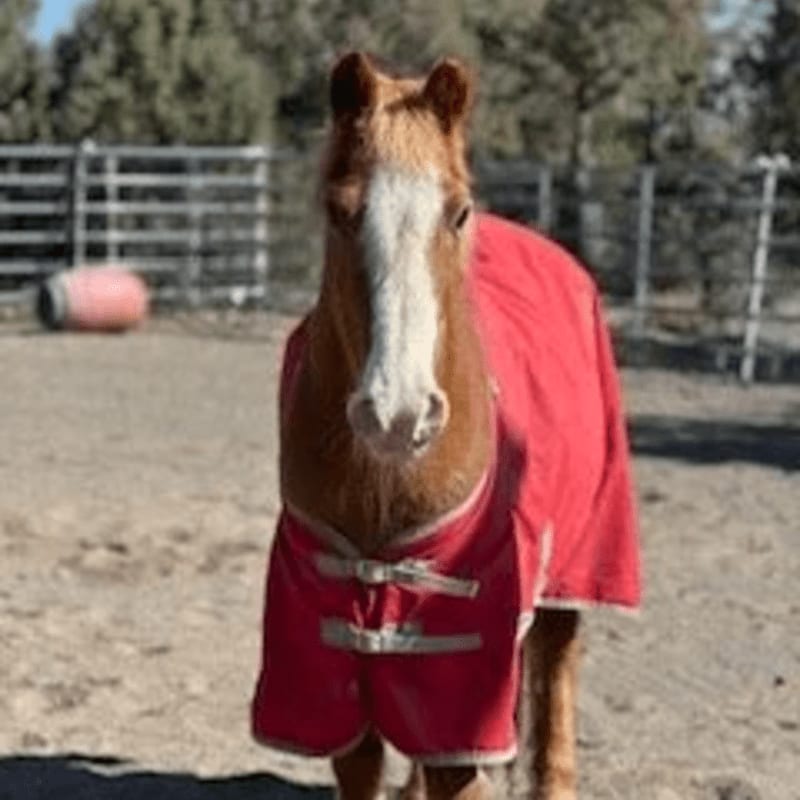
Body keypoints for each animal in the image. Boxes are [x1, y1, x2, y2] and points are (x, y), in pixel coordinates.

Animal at [252, 53, 640, 799]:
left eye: (458, 212)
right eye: (340, 210)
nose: (398, 413)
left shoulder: (459, 678)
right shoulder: (330, 661)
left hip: (576, 567)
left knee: (556, 676)